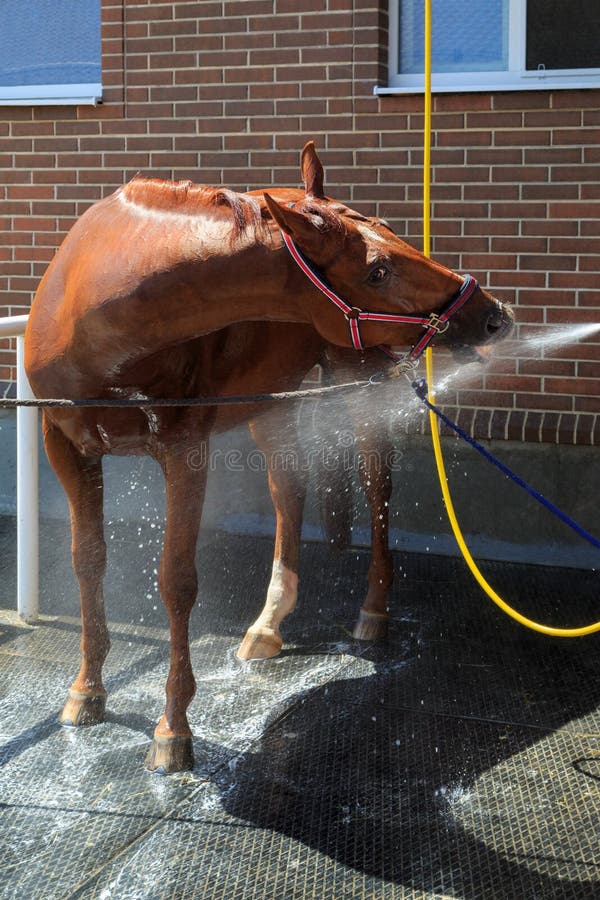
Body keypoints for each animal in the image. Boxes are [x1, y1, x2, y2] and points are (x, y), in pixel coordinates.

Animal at [24, 142, 513, 772]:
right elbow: (88, 561)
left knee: (376, 484)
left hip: (357, 379)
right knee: (290, 489)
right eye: (377, 270)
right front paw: (86, 692)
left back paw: (373, 612)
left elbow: (176, 580)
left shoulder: (185, 449)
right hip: (270, 401)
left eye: (393, 232)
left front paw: (173, 730)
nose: (493, 314)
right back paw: (268, 624)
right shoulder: (64, 448)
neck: (90, 317)